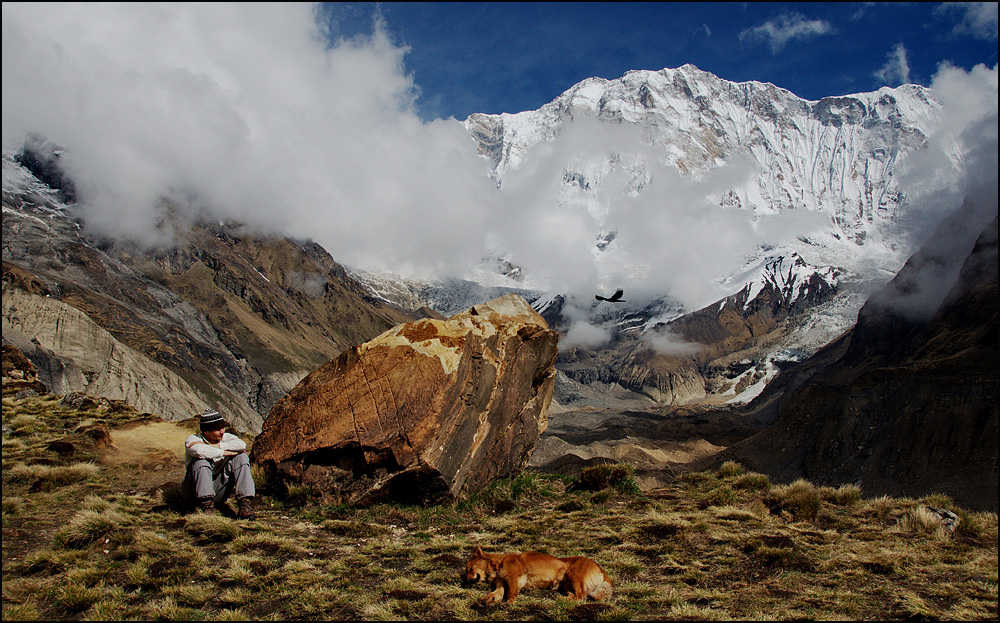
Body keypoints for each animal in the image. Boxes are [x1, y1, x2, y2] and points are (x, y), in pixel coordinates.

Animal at [464, 544, 612, 604]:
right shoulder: (501, 584)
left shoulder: (514, 578)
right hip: (566, 584)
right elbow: (496, 594)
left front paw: (508, 603)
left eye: (470, 568)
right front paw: (486, 599)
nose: (466, 581)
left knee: (581, 596)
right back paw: (562, 599)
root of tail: (600, 568)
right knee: (575, 595)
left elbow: (511, 594)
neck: (499, 563)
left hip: (574, 575)